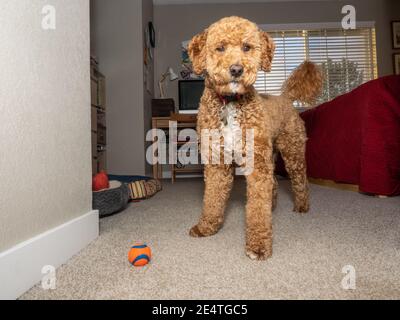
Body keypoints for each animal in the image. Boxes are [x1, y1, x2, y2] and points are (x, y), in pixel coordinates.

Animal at [189, 16, 324, 260]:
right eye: (220, 48)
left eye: (247, 47)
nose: (236, 69)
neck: (230, 103)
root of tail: (285, 98)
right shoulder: (217, 163)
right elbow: (212, 198)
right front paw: (207, 227)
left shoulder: (256, 164)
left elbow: (256, 207)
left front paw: (259, 245)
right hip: (270, 155)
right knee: (274, 184)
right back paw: (273, 205)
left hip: (293, 153)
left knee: (300, 181)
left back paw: (302, 206)